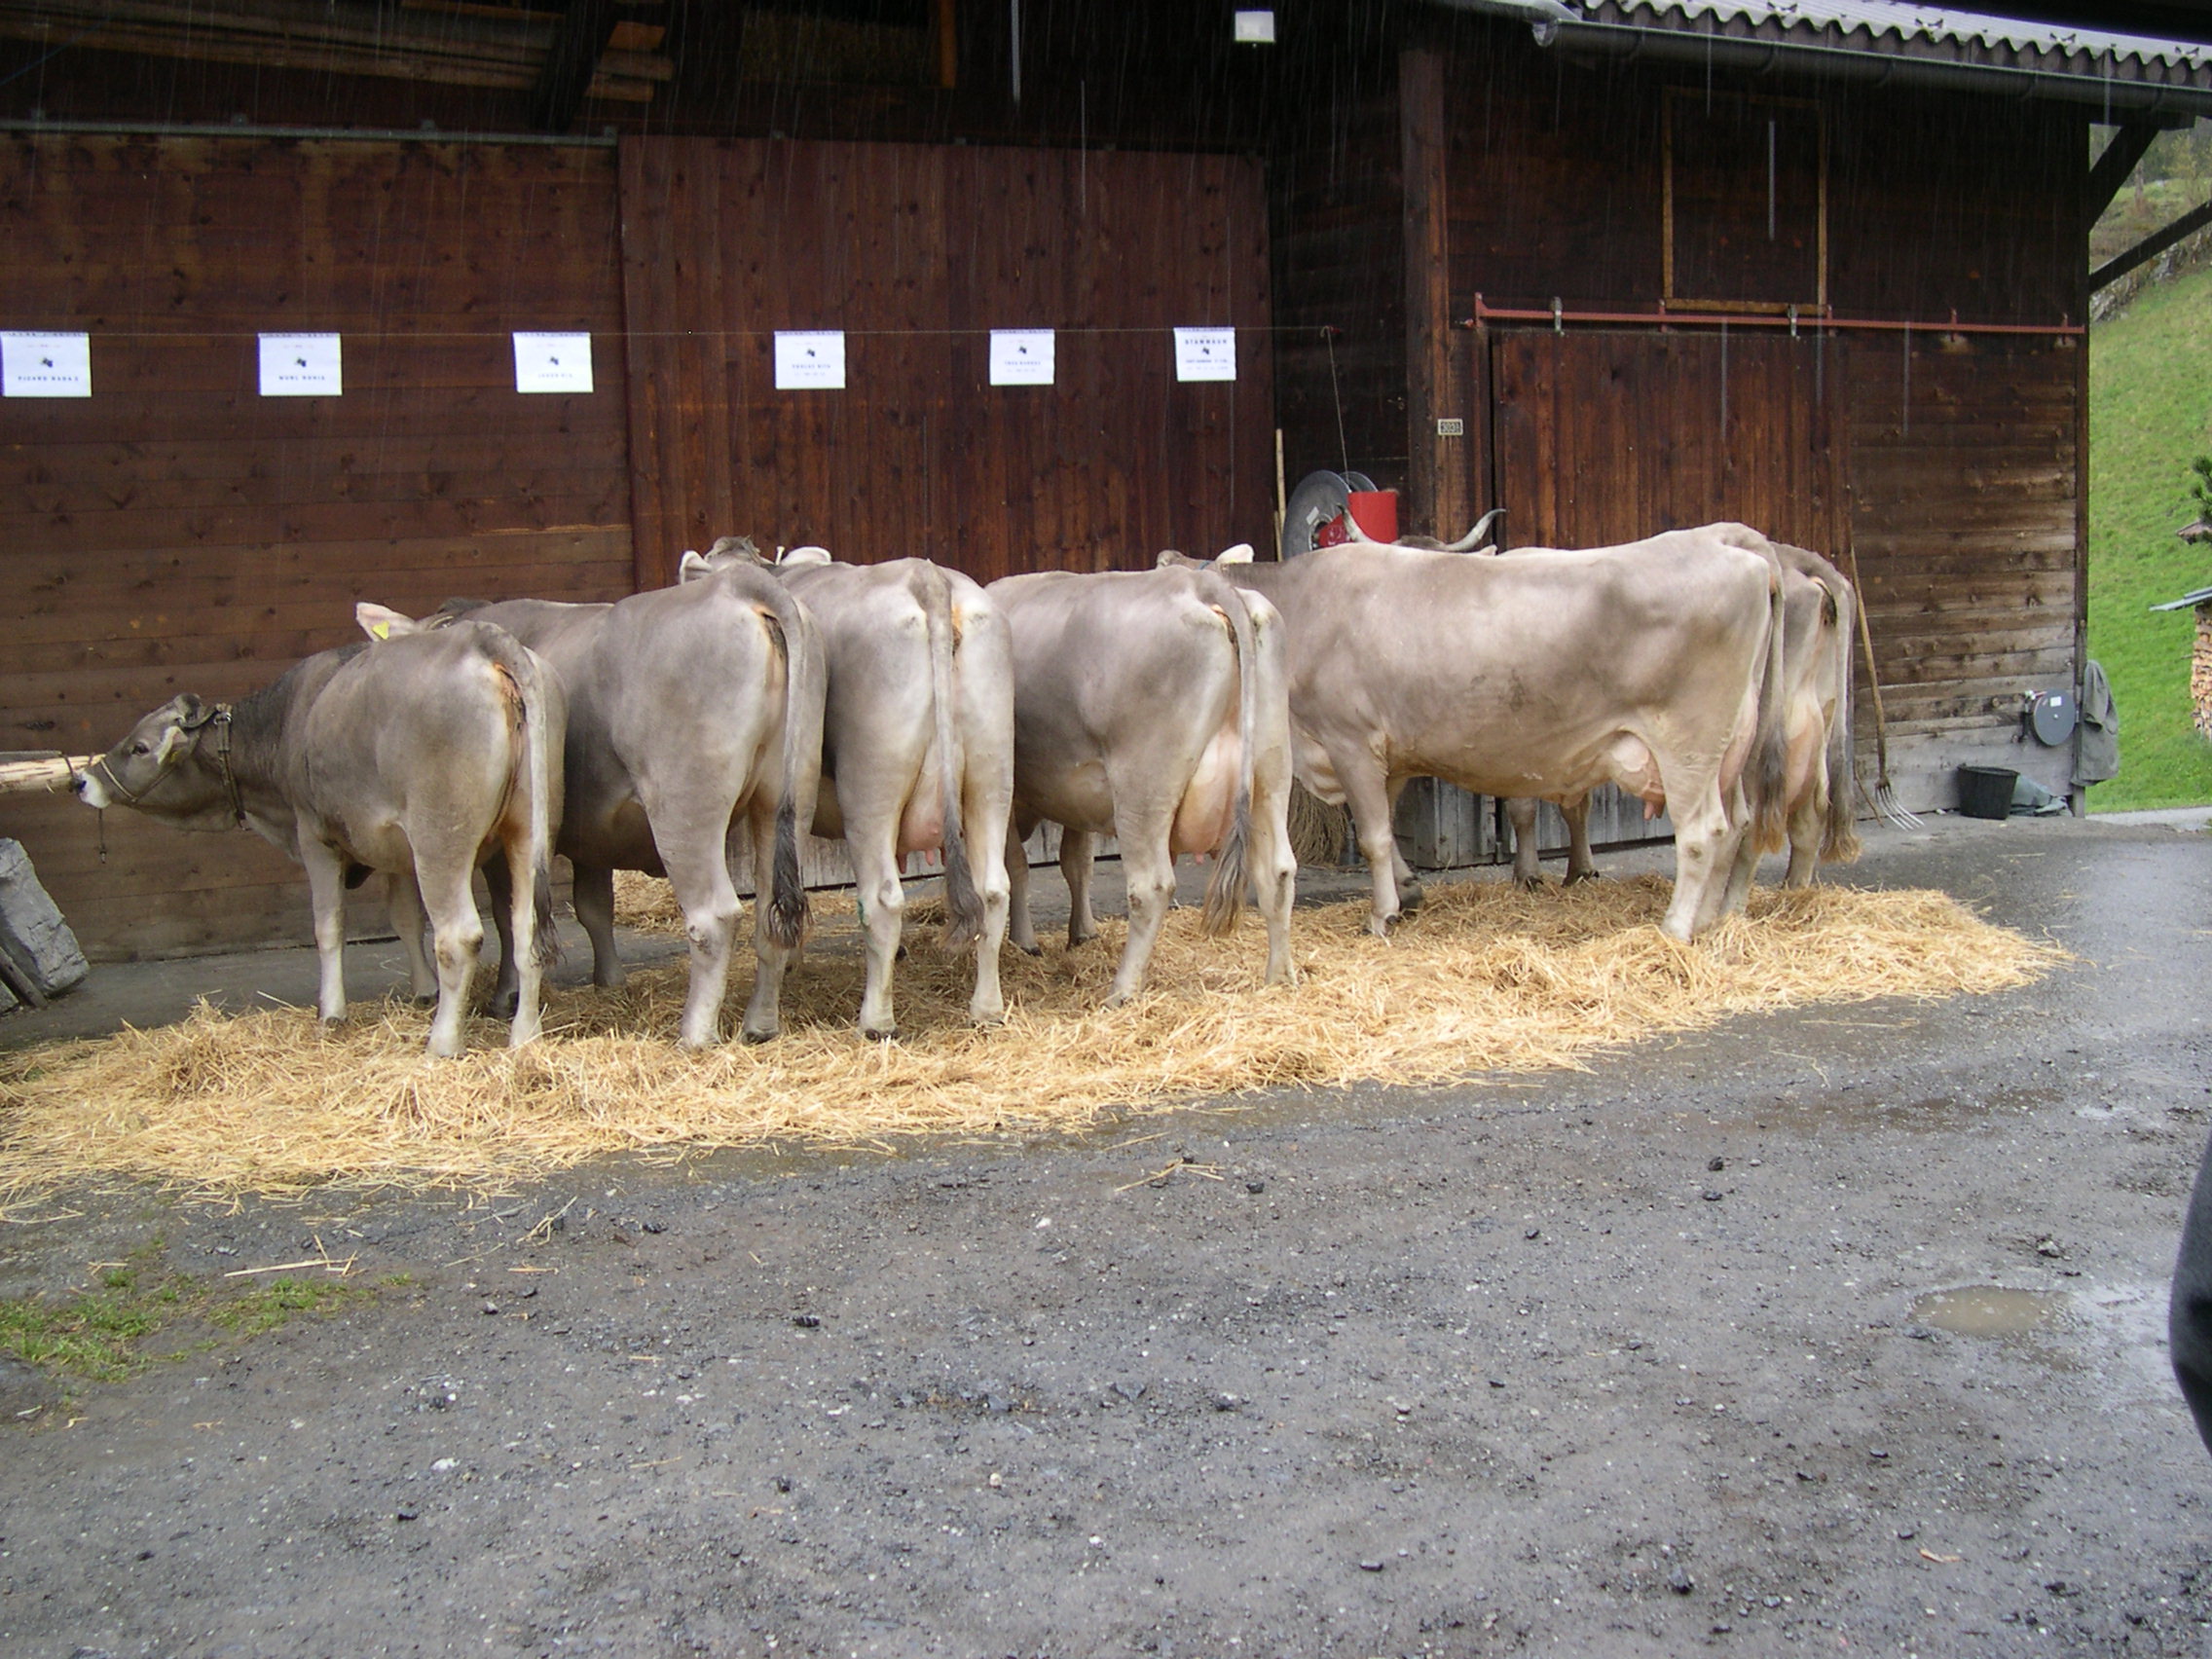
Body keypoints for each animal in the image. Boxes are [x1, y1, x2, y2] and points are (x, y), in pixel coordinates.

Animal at [75, 617, 562, 1058]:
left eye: (138, 747)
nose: (83, 780)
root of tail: (481, 636)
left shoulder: (315, 838)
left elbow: (328, 926)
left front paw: (331, 1013)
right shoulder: (396, 849)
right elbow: (406, 918)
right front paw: (424, 991)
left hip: (440, 838)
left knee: (459, 936)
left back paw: (442, 1043)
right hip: (526, 831)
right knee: (525, 929)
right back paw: (524, 1037)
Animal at [429, 560, 825, 1048]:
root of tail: (736, 583)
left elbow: (509, 916)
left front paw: (505, 997)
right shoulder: (592, 835)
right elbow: (594, 906)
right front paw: (610, 980)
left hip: (685, 806)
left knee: (714, 917)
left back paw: (695, 1034)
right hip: (787, 795)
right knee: (771, 915)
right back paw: (760, 1024)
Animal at [679, 539, 1015, 1039]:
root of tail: (927, 577)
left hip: (871, 785)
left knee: (882, 899)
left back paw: (875, 1020)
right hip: (991, 774)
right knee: (993, 890)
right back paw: (986, 1008)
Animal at [985, 562, 1297, 1005]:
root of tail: (1200, 582)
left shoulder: (1012, 795)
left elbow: (1018, 865)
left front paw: (1025, 940)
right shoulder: (1078, 790)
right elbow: (1077, 862)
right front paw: (1082, 933)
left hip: (1143, 788)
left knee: (1151, 885)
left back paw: (1121, 990)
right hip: (1272, 771)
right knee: (1278, 871)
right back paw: (1280, 977)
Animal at [1164, 523, 1788, 943]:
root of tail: (1728, 544)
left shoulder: (1350, 741)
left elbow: (1372, 835)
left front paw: (1381, 915)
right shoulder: (1389, 756)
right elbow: (1389, 829)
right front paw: (1408, 891)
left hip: (1687, 745)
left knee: (1704, 831)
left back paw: (1677, 927)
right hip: (1728, 749)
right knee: (1737, 824)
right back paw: (1710, 920)